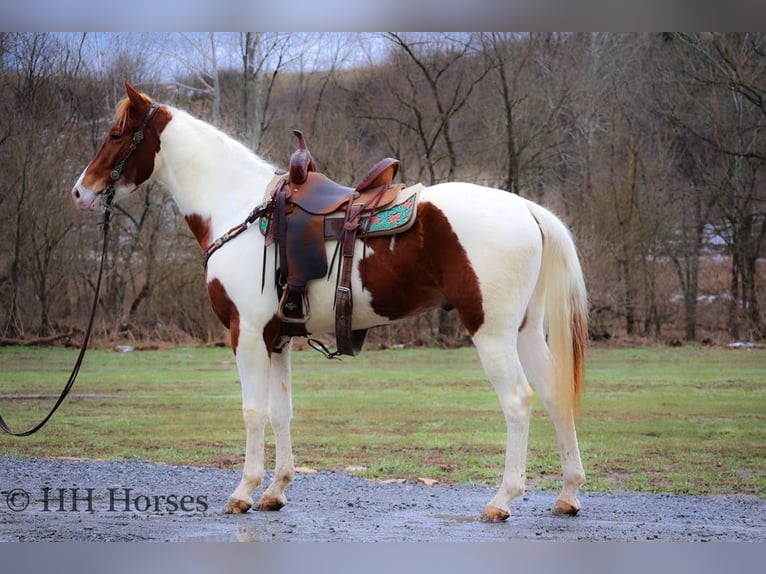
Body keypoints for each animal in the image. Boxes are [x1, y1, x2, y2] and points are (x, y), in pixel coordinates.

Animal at [71, 81, 588, 523]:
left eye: (116, 134)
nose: (80, 191)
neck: (238, 207)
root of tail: (525, 208)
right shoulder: (278, 338)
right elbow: (281, 411)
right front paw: (276, 490)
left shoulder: (246, 335)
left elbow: (253, 410)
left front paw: (244, 491)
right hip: (524, 332)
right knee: (554, 394)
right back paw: (567, 494)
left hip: (492, 332)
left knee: (518, 401)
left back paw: (503, 499)